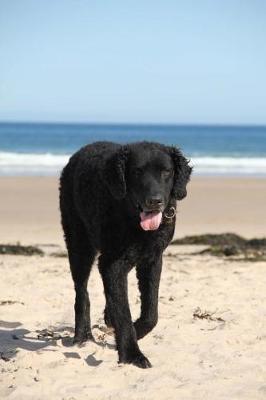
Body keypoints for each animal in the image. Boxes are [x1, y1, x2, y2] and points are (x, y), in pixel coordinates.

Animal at [58, 141, 191, 368]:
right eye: (137, 172)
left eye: (167, 171)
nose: (154, 201)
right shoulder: (113, 263)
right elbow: (123, 313)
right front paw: (132, 354)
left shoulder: (152, 259)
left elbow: (151, 312)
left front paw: (136, 332)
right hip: (79, 244)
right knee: (81, 292)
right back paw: (83, 335)